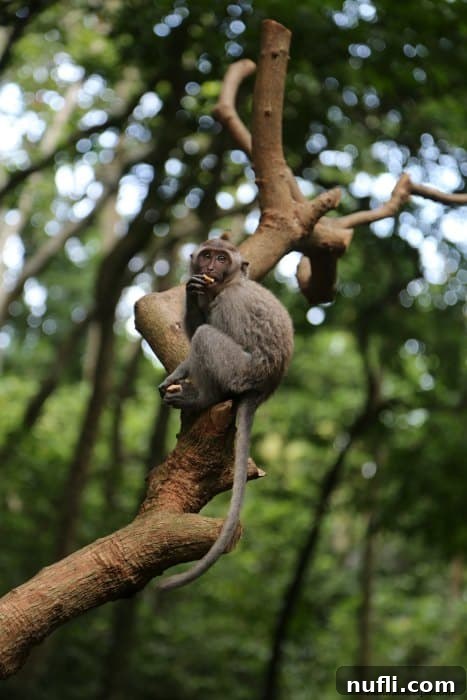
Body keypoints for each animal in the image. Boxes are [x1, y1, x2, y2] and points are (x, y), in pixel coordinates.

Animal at [157, 236, 294, 590]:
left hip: (238, 371)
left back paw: (202, 397)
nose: (210, 266)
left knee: (207, 337)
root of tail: (261, 390)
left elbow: (206, 331)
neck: (229, 284)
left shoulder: (228, 304)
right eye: (207, 255)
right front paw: (192, 294)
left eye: (222, 258)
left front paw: (183, 375)